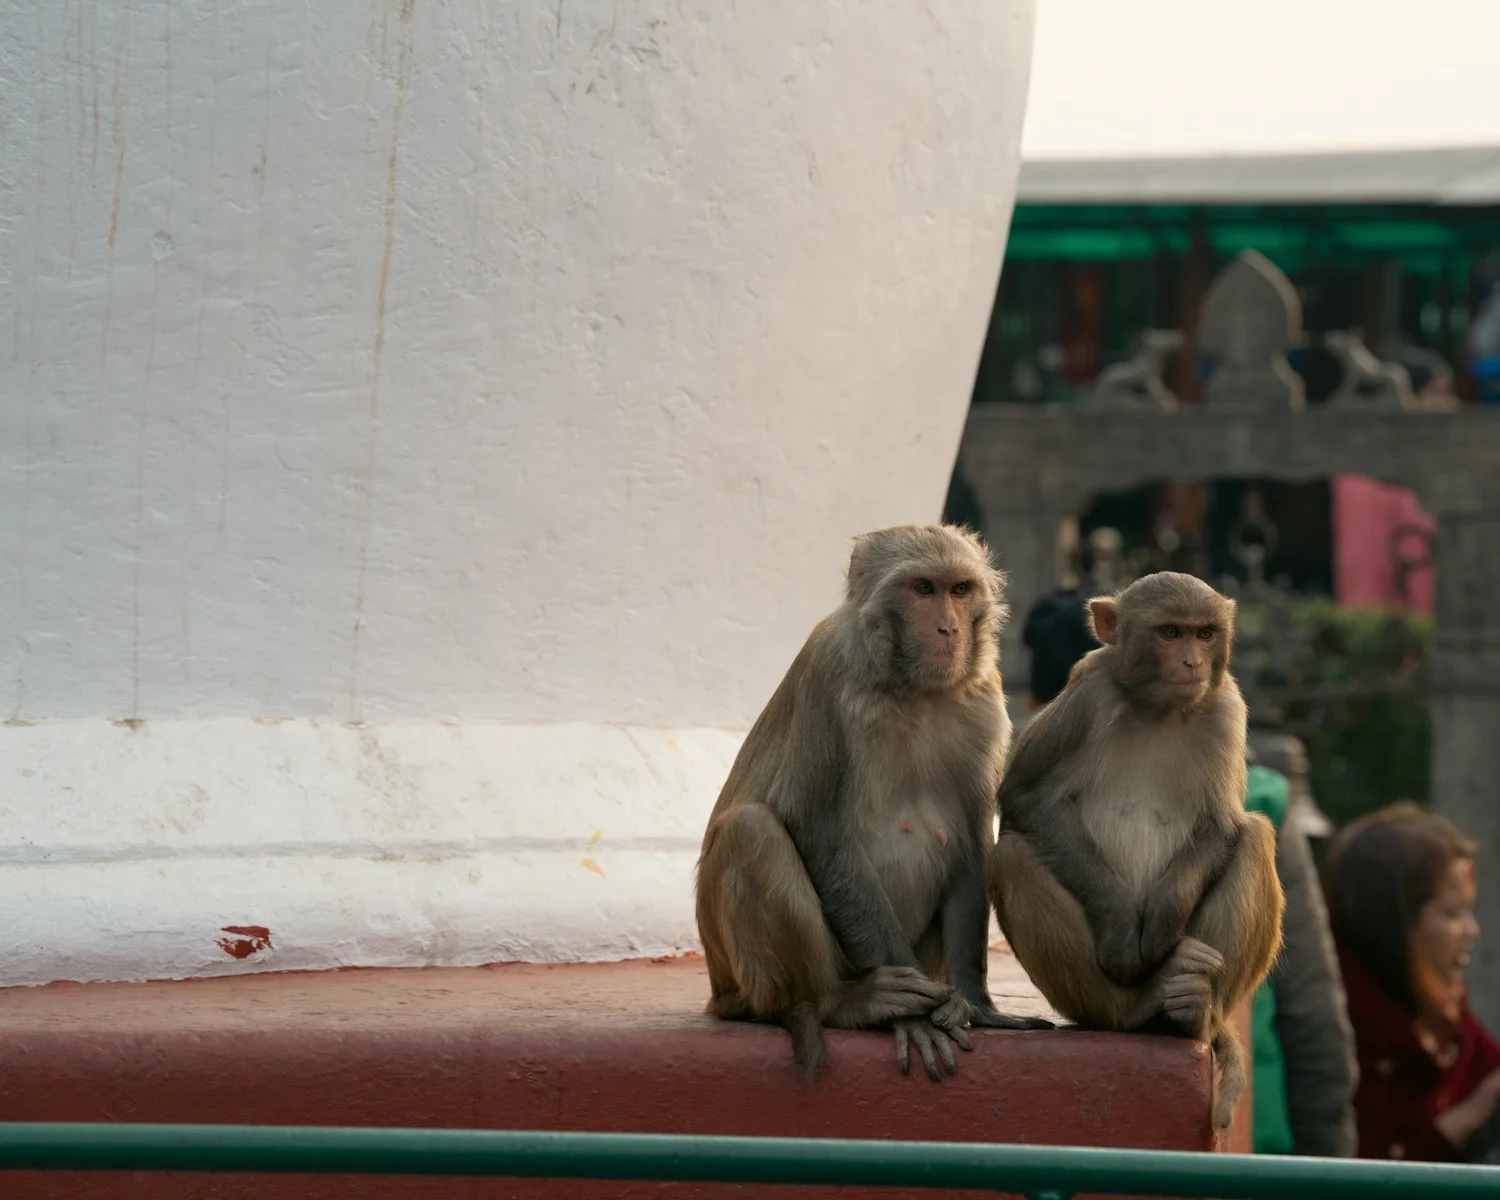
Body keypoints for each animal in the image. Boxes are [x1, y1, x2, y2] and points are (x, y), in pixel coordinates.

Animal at [696, 524, 1053, 1082]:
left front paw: (978, 1005)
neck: (908, 686)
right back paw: (841, 1001)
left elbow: (973, 843)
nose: (949, 629)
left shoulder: (987, 698)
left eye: (959, 589)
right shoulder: (826, 669)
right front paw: (916, 1020)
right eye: (923, 589)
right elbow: (819, 831)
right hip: (739, 979)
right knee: (751, 830)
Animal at [987, 571, 1283, 1130]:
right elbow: (1025, 797)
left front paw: (1163, 922)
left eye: (1205, 633)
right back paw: (1138, 1006)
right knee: (1011, 857)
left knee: (1255, 837)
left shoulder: (1226, 707)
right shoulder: (1089, 691)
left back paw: (1192, 1012)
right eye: (1170, 632)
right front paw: (1124, 931)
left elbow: (1222, 824)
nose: (1192, 663)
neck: (1159, 710)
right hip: (1089, 999)